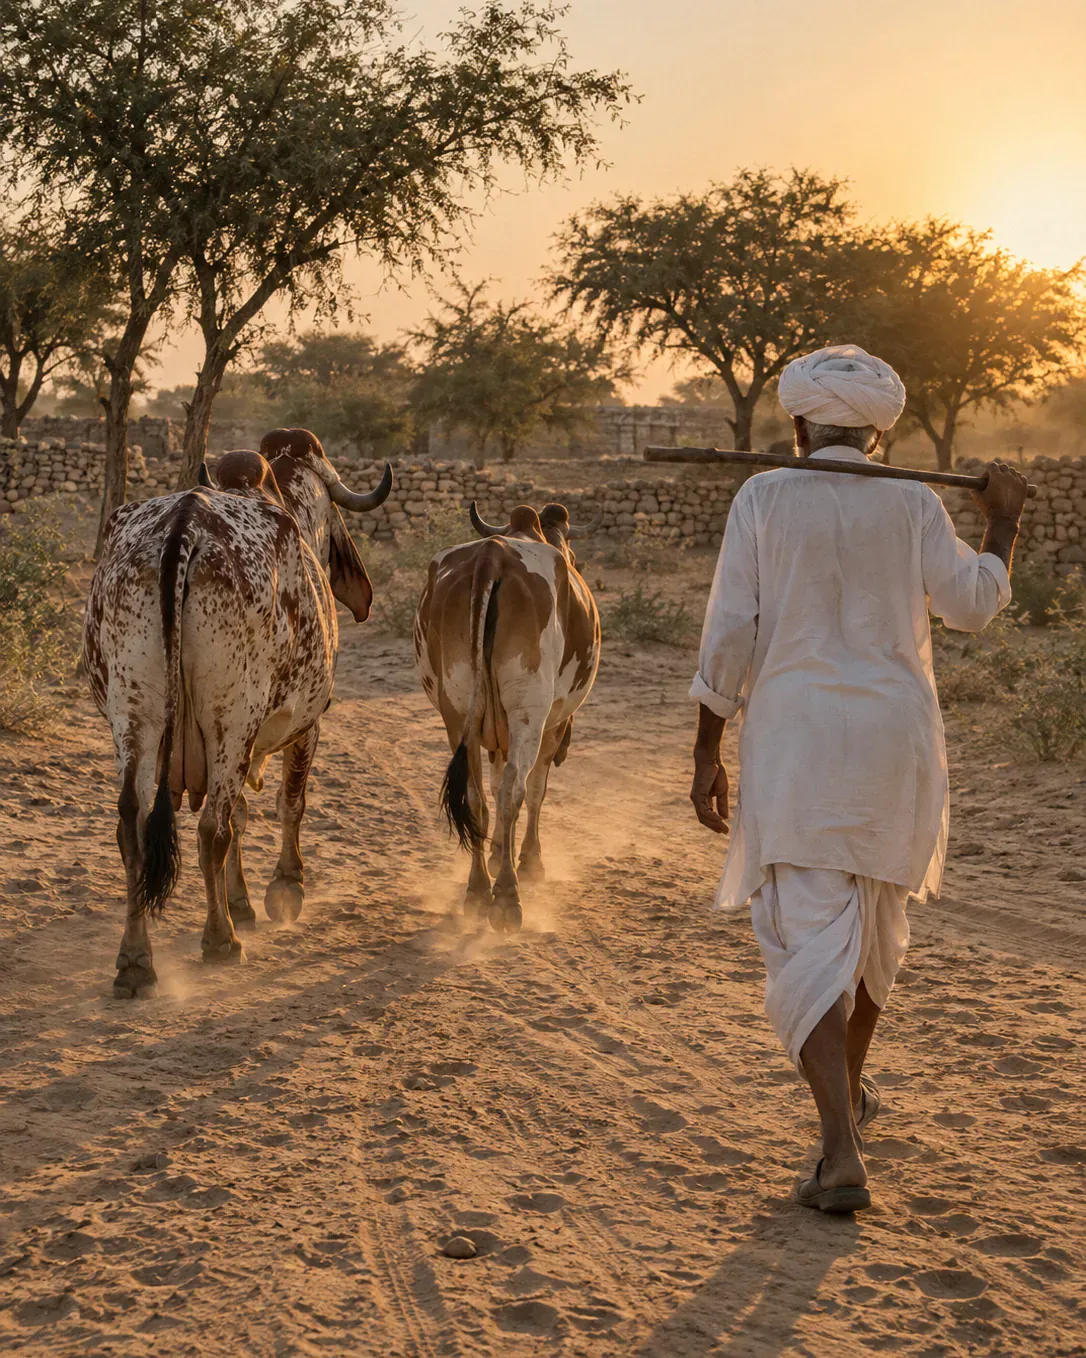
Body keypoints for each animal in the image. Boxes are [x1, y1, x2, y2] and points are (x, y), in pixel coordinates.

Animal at [83, 429, 391, 997]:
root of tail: (185, 524)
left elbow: (244, 816)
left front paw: (241, 900)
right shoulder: (307, 725)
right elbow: (289, 806)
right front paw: (283, 889)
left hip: (135, 717)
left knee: (133, 824)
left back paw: (136, 960)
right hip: (230, 720)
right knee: (211, 829)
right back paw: (219, 940)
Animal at [414, 501, 601, 931]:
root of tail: (492, 555)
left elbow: (494, 787)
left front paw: (499, 849)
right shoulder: (552, 725)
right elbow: (535, 791)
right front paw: (529, 861)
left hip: (457, 712)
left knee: (476, 794)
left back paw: (479, 889)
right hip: (527, 712)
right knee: (515, 790)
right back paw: (507, 895)